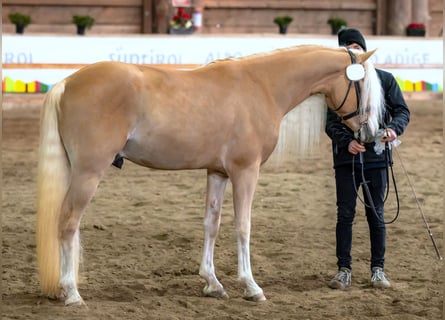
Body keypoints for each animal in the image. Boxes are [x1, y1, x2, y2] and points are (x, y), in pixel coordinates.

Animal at [36, 45, 382, 304]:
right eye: (363, 85)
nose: (369, 135)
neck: (262, 86)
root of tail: (68, 83)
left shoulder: (217, 172)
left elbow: (211, 225)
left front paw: (212, 282)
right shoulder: (245, 171)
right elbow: (243, 226)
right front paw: (251, 286)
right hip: (88, 174)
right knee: (68, 222)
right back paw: (72, 292)